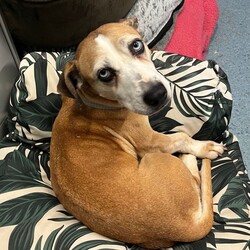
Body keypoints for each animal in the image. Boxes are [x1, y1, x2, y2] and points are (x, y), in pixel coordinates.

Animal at [50, 18, 225, 249]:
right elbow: (182, 138)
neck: (89, 100)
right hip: (157, 158)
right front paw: (204, 146)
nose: (157, 95)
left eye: (136, 45)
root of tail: (186, 227)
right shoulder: (151, 142)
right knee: (195, 180)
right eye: (104, 74)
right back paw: (189, 157)